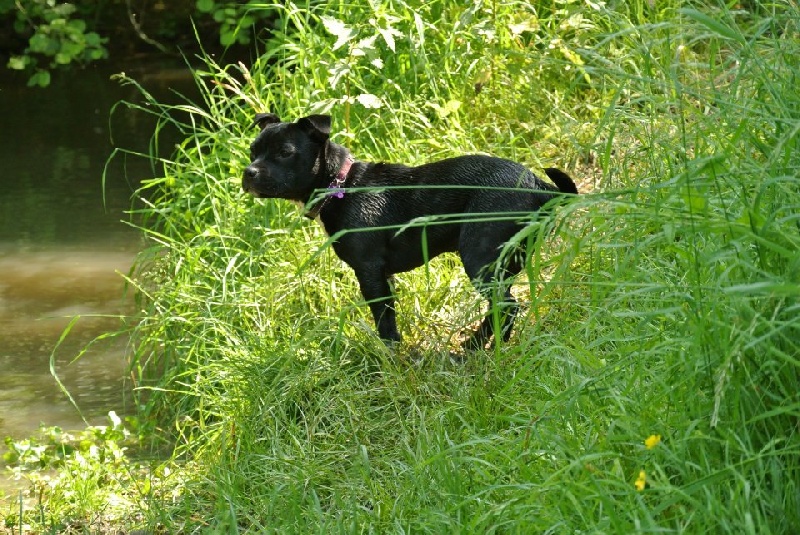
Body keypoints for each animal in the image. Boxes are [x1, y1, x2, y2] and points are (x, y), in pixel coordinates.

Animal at [241, 114, 580, 350]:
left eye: (285, 152)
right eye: (252, 151)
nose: (248, 172)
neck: (342, 185)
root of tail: (539, 186)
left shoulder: (369, 271)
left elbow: (384, 322)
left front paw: (389, 357)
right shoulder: (384, 275)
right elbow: (389, 313)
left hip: (479, 256)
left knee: (507, 306)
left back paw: (480, 348)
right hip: (504, 261)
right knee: (502, 305)